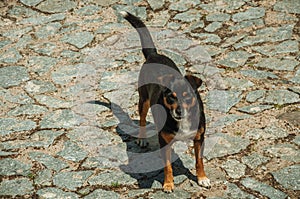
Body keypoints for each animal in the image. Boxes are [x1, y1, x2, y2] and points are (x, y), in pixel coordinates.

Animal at [120, 11, 211, 193]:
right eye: (171, 97)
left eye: (187, 95)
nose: (179, 111)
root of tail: (153, 54)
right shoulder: (164, 142)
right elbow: (167, 166)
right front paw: (168, 184)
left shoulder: (199, 138)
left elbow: (199, 161)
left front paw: (202, 178)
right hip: (143, 100)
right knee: (142, 119)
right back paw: (142, 139)